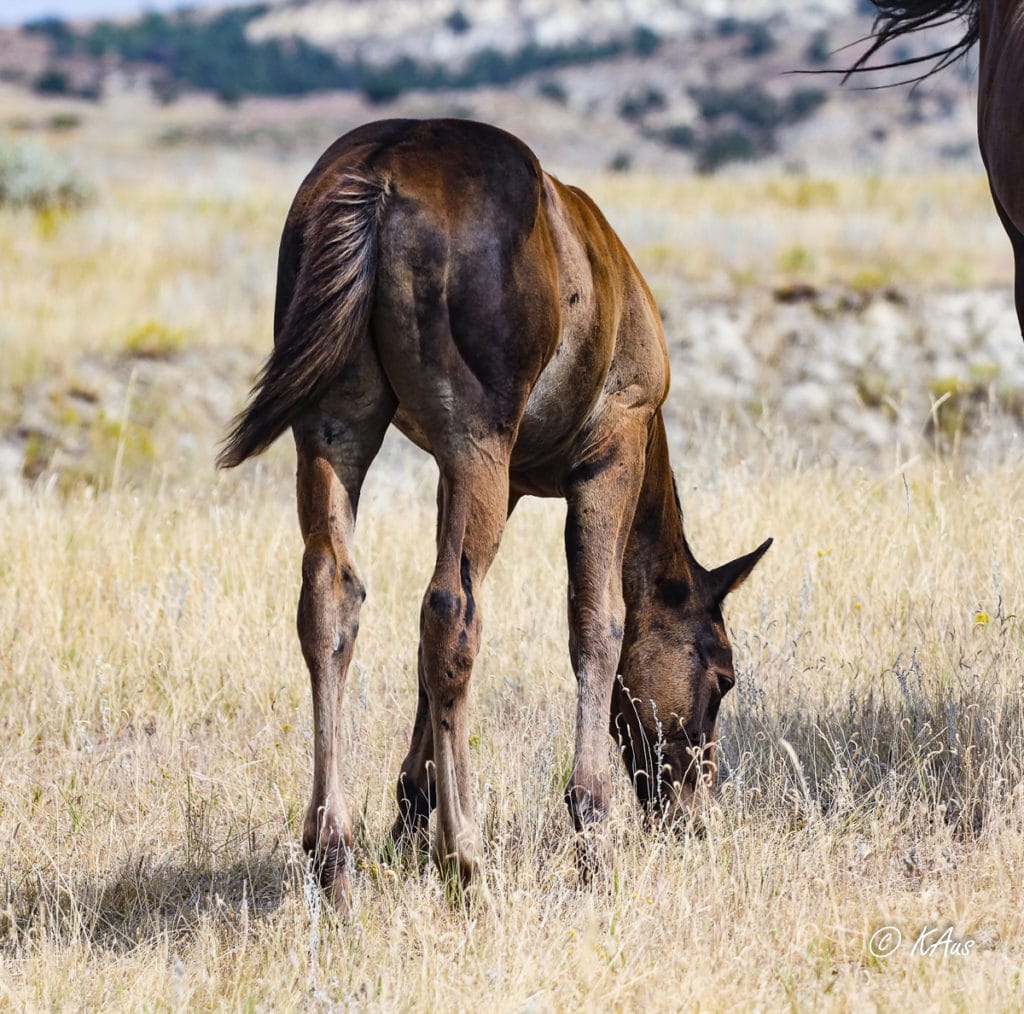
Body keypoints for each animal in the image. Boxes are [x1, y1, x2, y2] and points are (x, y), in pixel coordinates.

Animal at [220, 120, 770, 913]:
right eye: (723, 676)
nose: (692, 814)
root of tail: (380, 174)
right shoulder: (608, 453)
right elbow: (597, 625)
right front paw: (591, 835)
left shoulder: (484, 483)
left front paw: (409, 818)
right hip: (475, 442)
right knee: (452, 612)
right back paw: (465, 860)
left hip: (336, 429)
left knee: (336, 599)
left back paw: (336, 858)